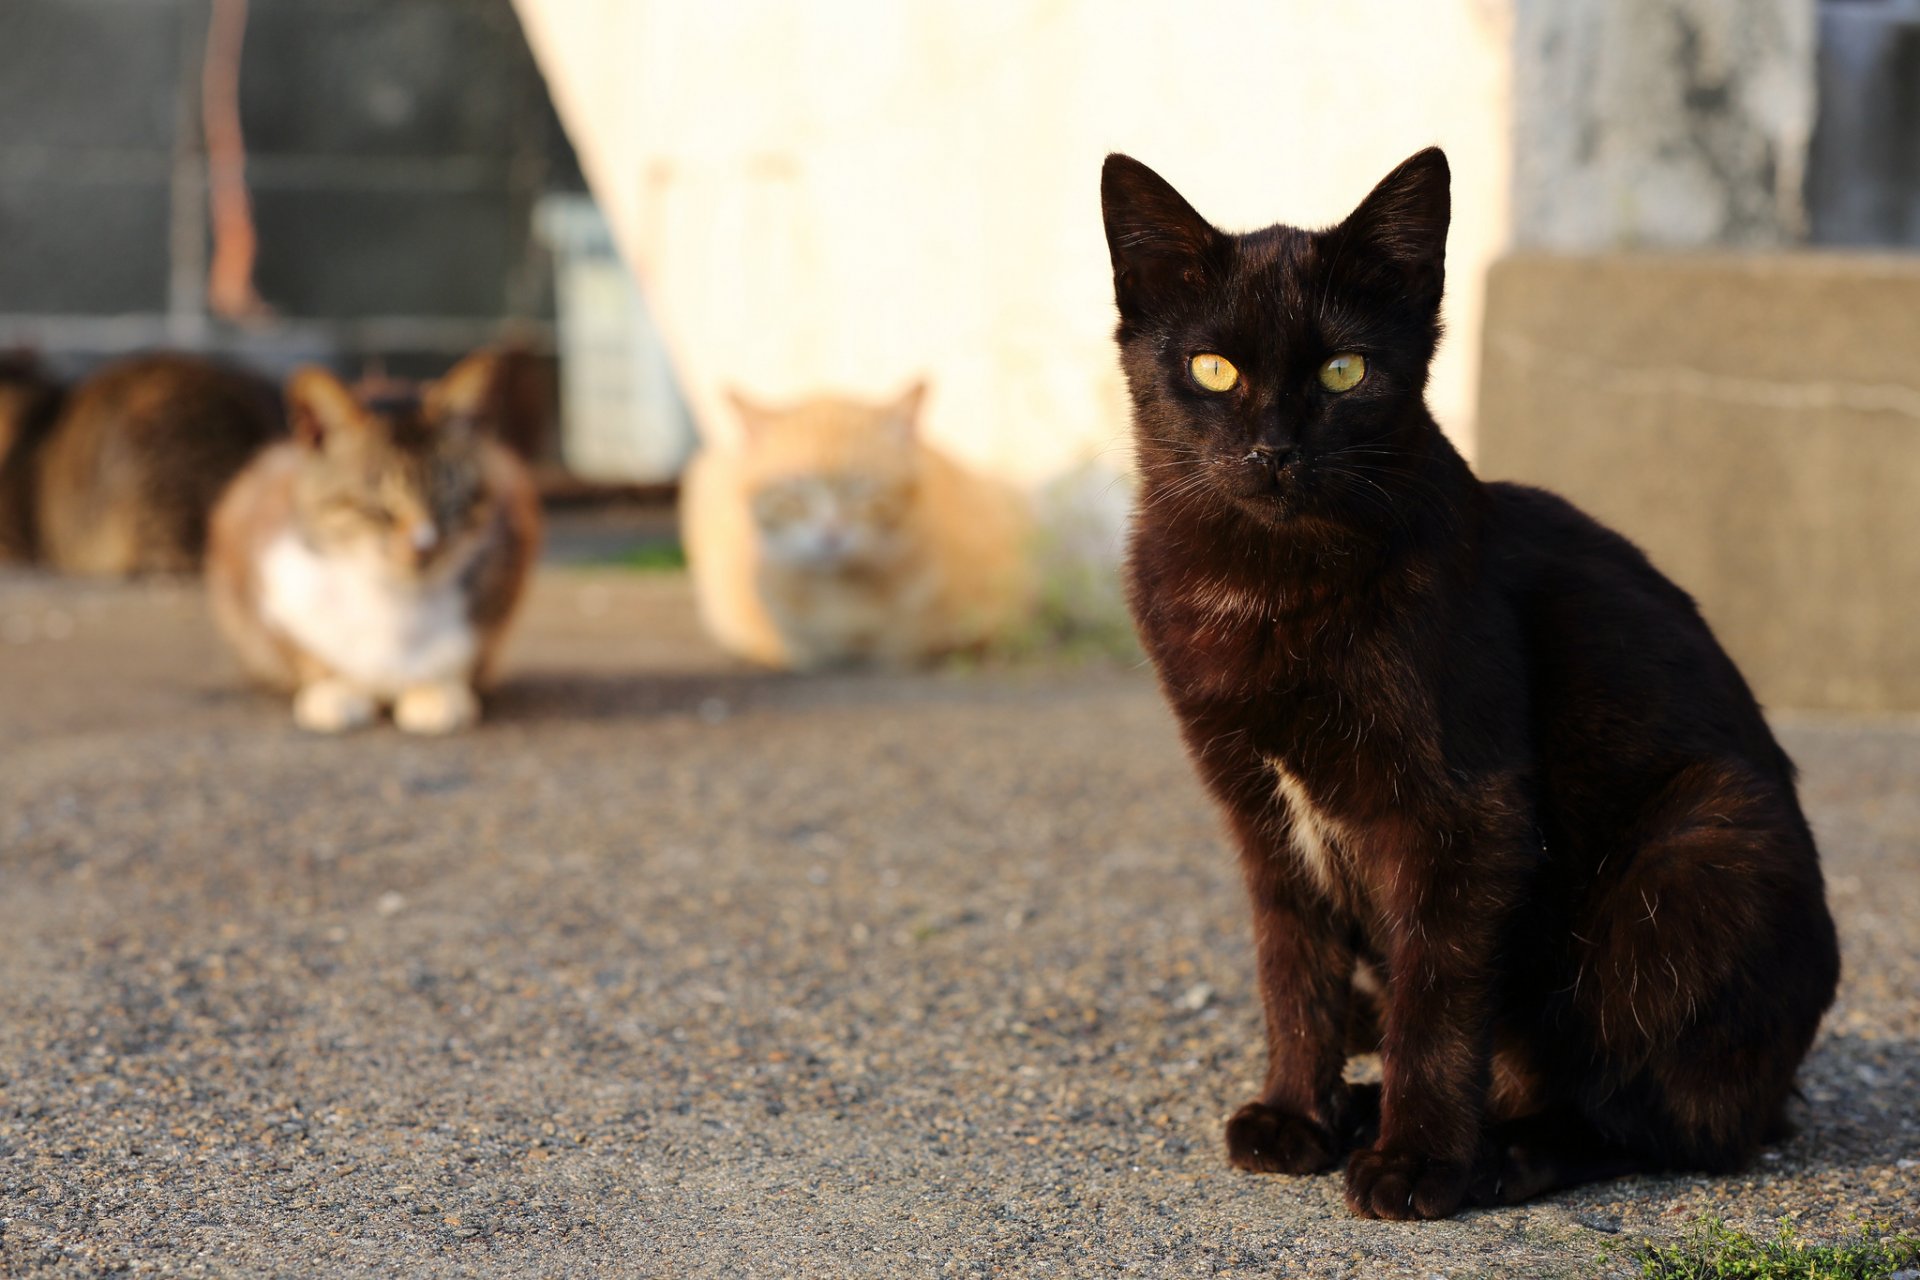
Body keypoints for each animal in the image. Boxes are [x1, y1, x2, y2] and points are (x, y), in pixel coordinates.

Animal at [205, 351, 541, 736]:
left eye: (446, 497)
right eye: (378, 505)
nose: (424, 546)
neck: (394, 601)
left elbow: (466, 655)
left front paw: (438, 689)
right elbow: (307, 654)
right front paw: (336, 687)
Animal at [1113, 150, 1843, 1220]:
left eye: (1344, 371)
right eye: (1214, 369)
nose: (1273, 452)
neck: (1267, 587)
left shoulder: (1467, 812)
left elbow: (1438, 994)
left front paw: (1420, 1164)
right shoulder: (1259, 813)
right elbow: (1293, 970)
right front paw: (1296, 1115)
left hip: (1703, 847)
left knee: (1664, 1120)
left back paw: (1500, 1152)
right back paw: (1367, 1108)